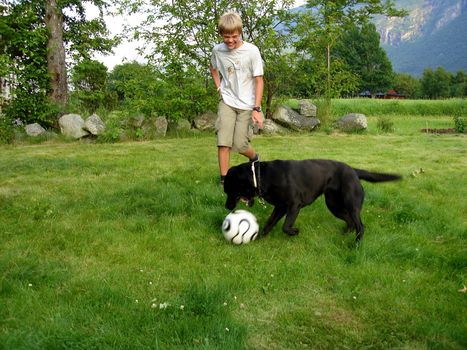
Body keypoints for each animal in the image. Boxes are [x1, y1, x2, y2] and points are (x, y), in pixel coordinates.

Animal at [224, 160, 402, 242]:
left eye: (228, 190)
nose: (227, 207)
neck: (261, 176)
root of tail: (354, 170)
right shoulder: (280, 207)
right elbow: (269, 223)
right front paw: (258, 238)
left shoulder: (294, 205)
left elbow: (285, 226)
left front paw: (295, 232)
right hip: (333, 205)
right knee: (350, 222)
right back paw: (344, 234)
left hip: (351, 203)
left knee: (360, 226)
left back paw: (356, 244)